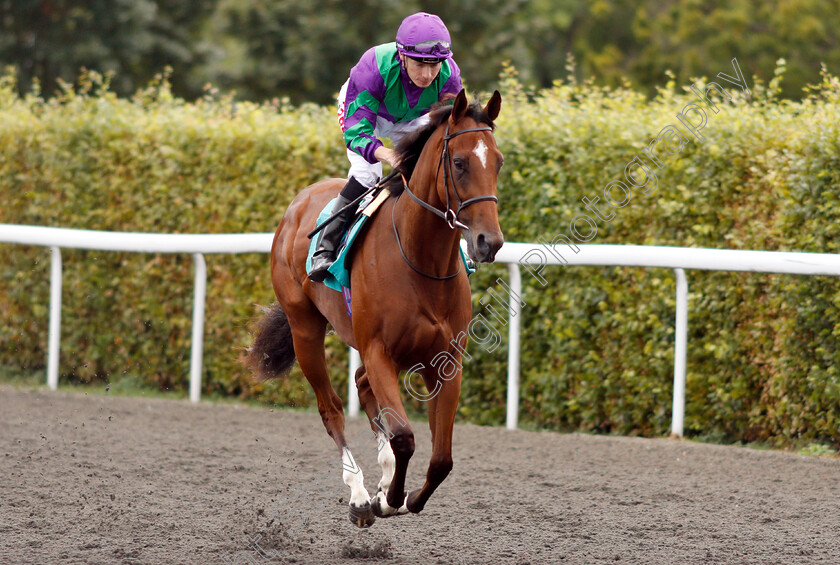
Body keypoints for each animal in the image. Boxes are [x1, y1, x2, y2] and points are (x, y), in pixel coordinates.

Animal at [246, 87, 502, 524]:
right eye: (459, 162)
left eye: (498, 161)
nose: (490, 242)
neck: (420, 262)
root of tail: (298, 201)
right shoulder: (379, 349)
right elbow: (404, 437)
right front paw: (388, 498)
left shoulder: (445, 360)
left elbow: (442, 458)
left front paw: (404, 494)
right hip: (305, 329)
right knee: (331, 408)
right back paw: (361, 496)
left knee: (362, 384)